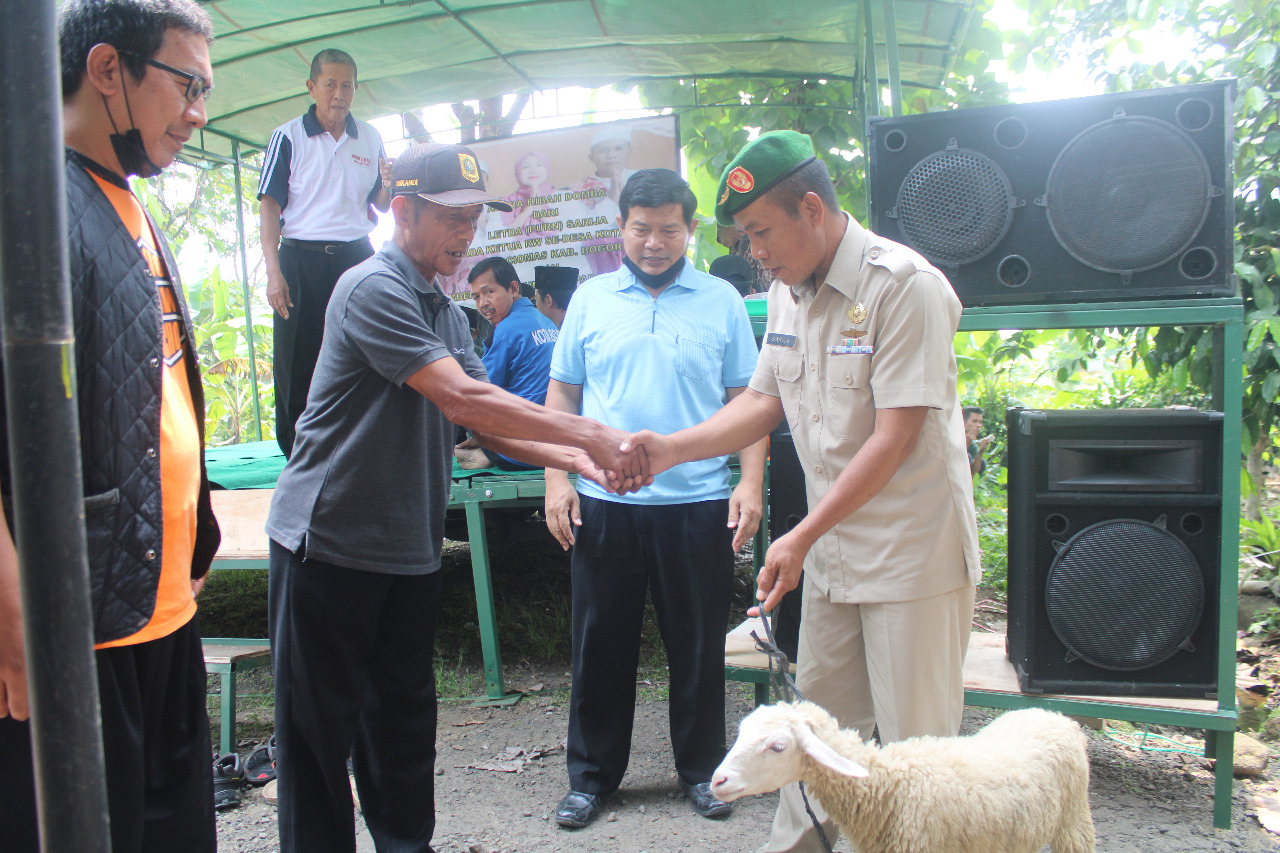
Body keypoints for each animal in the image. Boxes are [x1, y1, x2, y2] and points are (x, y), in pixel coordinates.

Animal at [711, 696, 1090, 850]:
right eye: (741, 731)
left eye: (778, 747)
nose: (717, 781)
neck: (890, 787)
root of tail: (1052, 714)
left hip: (1074, 825)